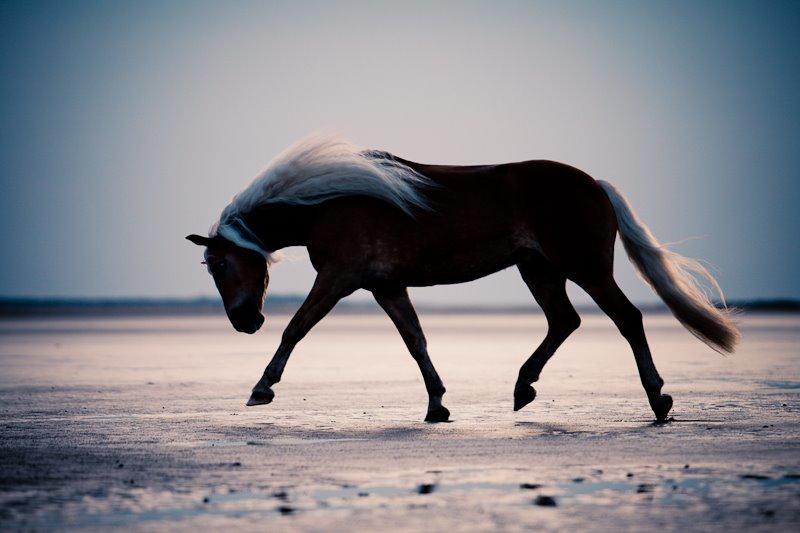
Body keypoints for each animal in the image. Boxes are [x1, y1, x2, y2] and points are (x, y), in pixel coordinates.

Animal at [186, 135, 736, 422]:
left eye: (220, 264)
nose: (244, 321)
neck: (330, 203)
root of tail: (594, 184)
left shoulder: (339, 279)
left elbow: (296, 328)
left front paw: (262, 387)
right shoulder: (385, 286)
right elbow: (416, 341)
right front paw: (437, 404)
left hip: (585, 268)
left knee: (627, 319)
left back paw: (658, 398)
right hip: (539, 270)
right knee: (564, 322)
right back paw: (523, 387)